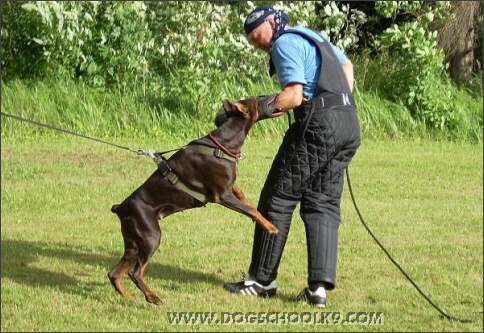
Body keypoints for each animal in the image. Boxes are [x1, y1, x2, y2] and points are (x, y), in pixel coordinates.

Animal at [108, 96, 278, 304]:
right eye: (259, 98)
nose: (274, 96)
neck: (223, 144)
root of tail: (121, 208)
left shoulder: (230, 189)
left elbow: (246, 201)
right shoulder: (222, 195)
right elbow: (251, 209)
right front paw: (270, 226)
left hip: (133, 242)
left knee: (114, 273)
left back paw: (127, 296)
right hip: (150, 237)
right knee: (135, 272)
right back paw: (152, 297)